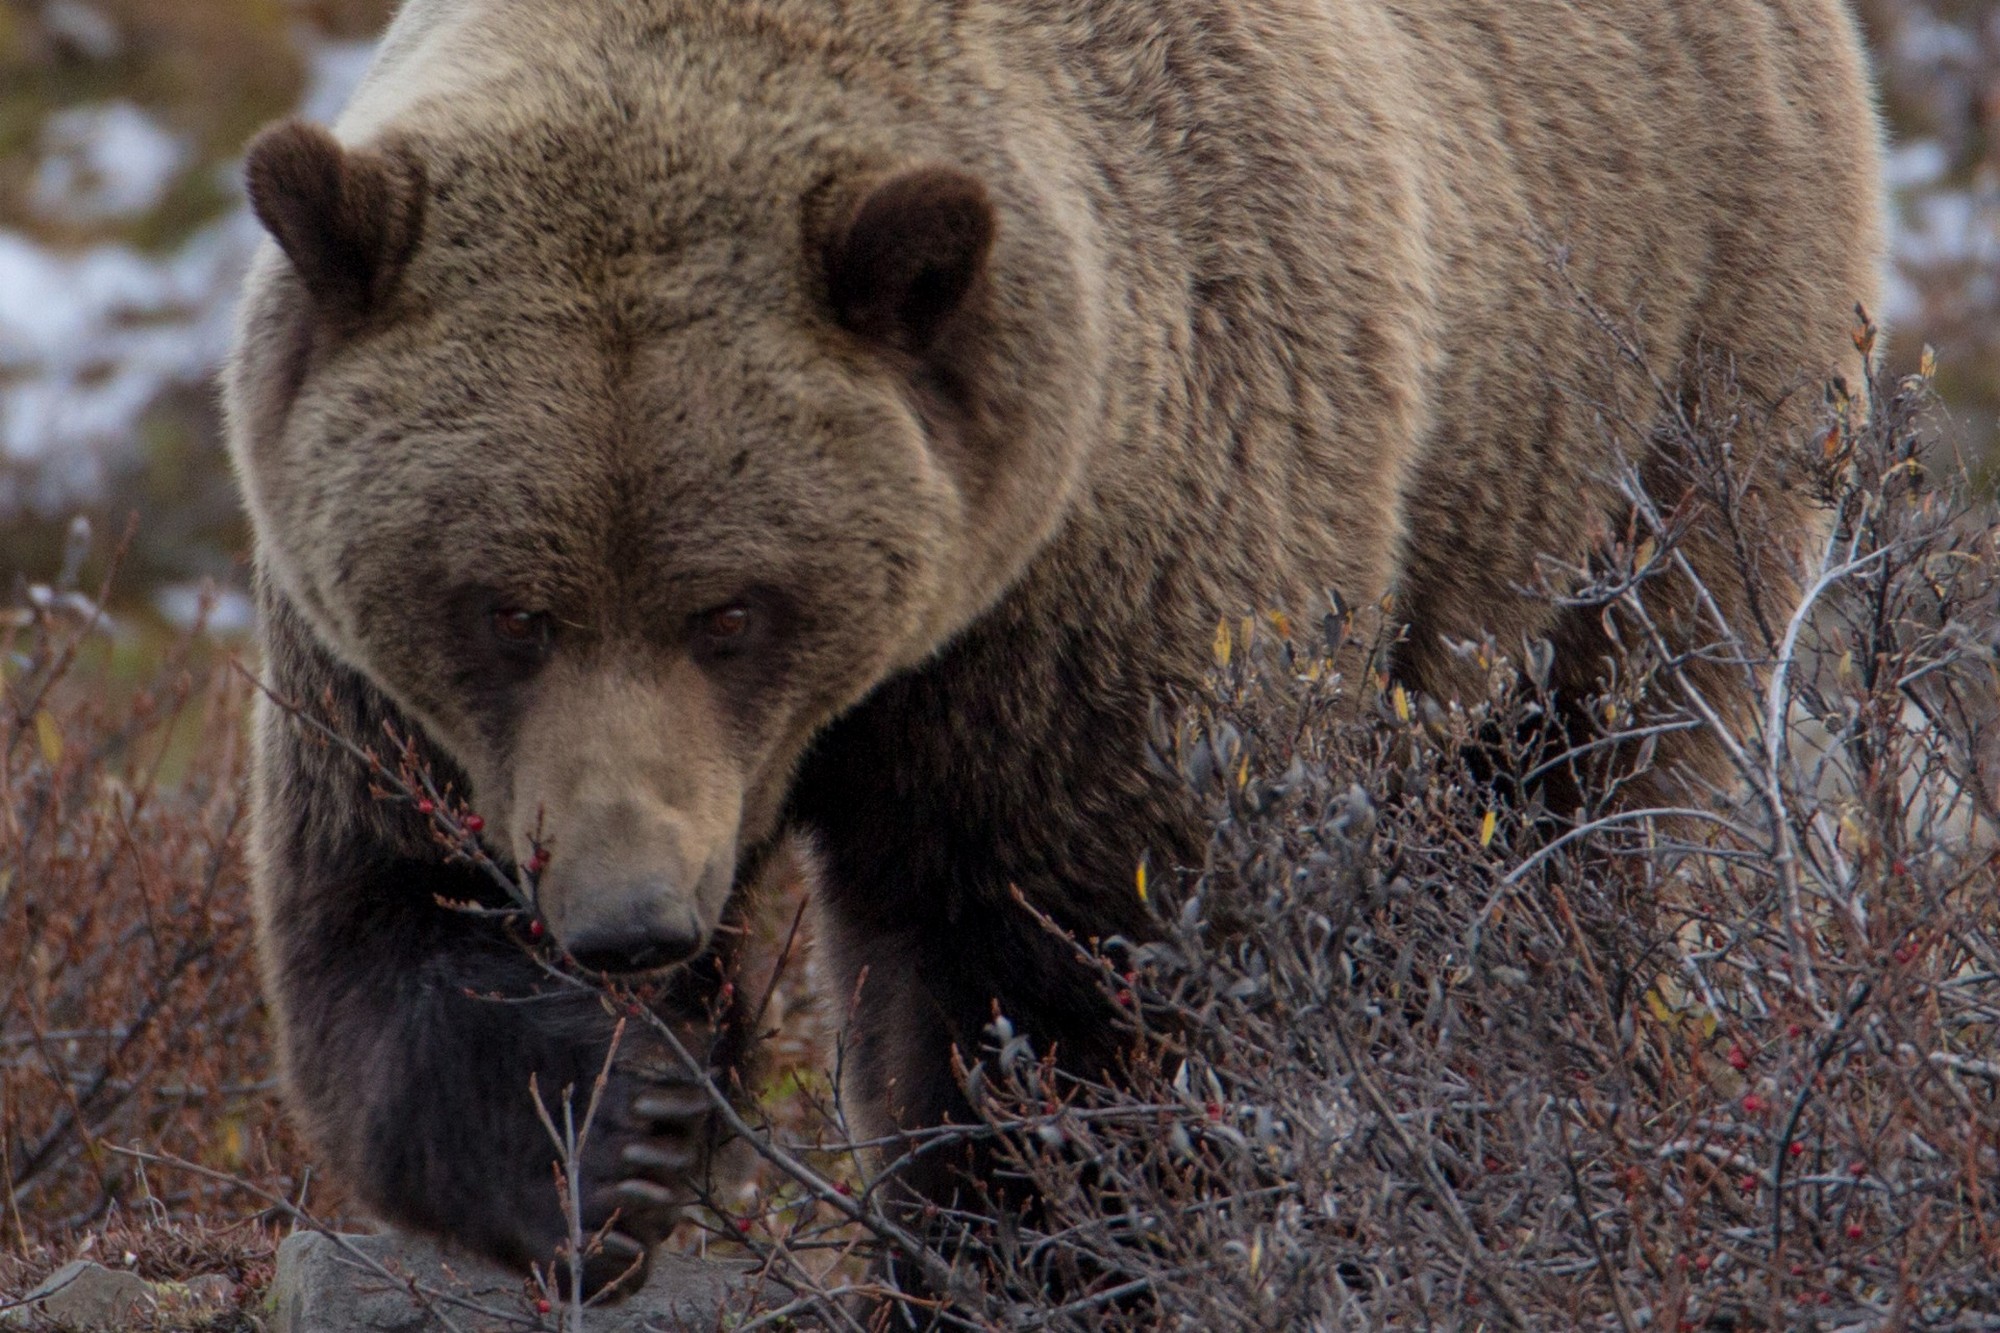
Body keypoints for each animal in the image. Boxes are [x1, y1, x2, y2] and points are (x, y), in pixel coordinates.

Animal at [224, 0, 1884, 1295]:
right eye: (509, 605)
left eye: (734, 608)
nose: (634, 915)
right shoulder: (372, 677)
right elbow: (387, 900)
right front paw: (612, 1134)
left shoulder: (1116, 581)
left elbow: (1075, 990)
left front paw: (1016, 1247)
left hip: (1648, 392)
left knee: (1569, 802)